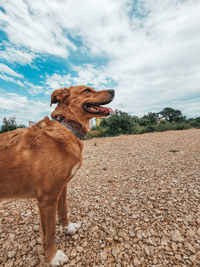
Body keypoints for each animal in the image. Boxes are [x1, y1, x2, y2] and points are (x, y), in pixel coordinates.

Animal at [0, 86, 115, 266]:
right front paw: (52, 256)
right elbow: (49, 233)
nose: (113, 90)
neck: (67, 127)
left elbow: (64, 211)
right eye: (87, 90)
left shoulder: (62, 188)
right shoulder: (47, 198)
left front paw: (68, 228)